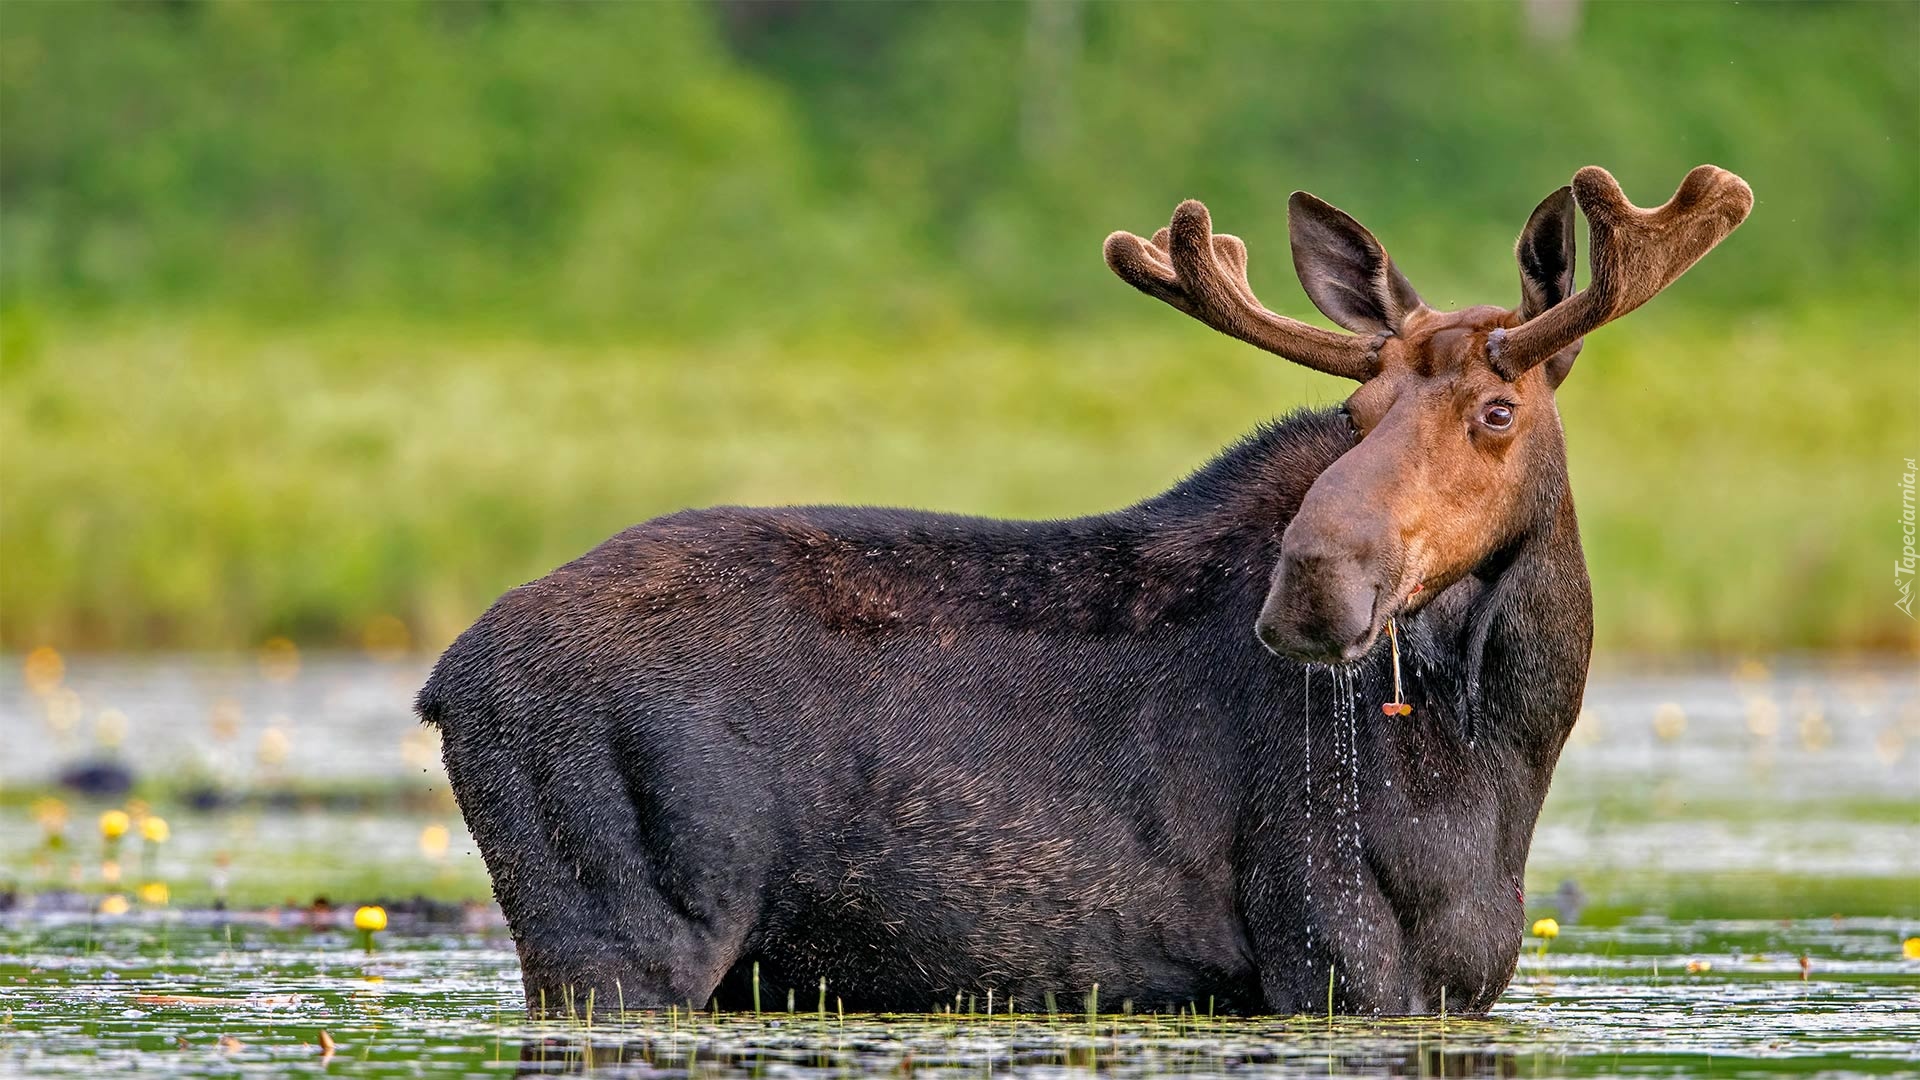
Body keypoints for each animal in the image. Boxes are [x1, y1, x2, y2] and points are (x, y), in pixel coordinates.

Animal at [424, 164, 1758, 1014]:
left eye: (1495, 410)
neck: (1507, 742)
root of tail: (445, 681)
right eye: (1354, 410)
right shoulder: (1331, 948)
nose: (1313, 588)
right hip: (619, 940)